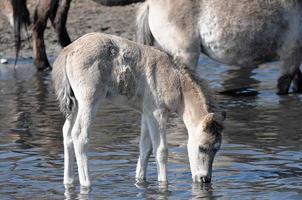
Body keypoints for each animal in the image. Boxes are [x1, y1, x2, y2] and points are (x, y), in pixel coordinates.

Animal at [53, 32, 225, 188]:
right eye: (202, 147)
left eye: (217, 149)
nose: (204, 179)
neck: (175, 81)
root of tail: (68, 50)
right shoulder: (158, 113)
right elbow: (161, 150)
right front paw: (163, 184)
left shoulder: (146, 113)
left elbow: (145, 147)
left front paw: (140, 181)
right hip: (89, 100)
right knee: (79, 135)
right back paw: (86, 184)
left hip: (75, 103)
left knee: (67, 132)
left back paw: (68, 182)